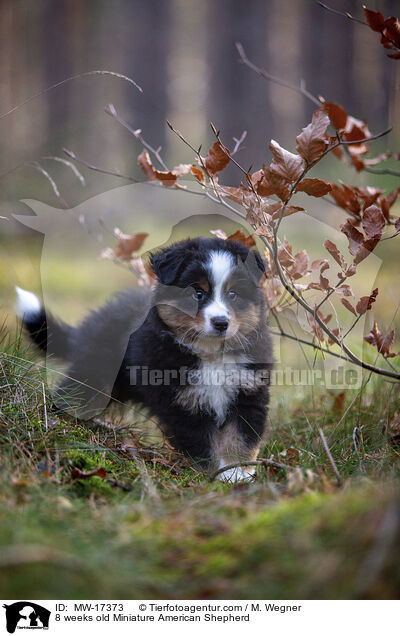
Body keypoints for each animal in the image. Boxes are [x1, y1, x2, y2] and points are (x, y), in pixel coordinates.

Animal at [15, 238, 272, 482]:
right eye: (197, 293)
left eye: (233, 294)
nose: (220, 323)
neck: (211, 354)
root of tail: (88, 326)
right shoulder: (182, 403)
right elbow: (201, 445)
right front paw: (211, 476)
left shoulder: (249, 394)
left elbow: (241, 439)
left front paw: (237, 474)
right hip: (95, 371)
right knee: (72, 393)